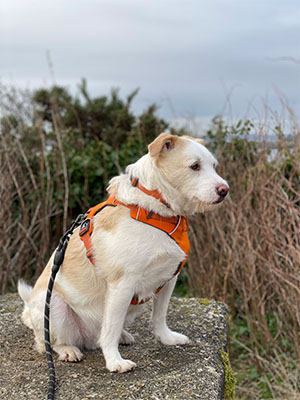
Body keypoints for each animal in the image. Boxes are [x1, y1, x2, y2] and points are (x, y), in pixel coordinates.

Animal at [17, 133, 229, 374]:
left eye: (214, 166)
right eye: (194, 166)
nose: (225, 190)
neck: (155, 210)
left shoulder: (169, 278)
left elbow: (159, 316)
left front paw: (166, 338)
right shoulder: (122, 285)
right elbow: (110, 329)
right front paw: (114, 361)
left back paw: (123, 336)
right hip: (53, 305)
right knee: (50, 342)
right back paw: (69, 350)